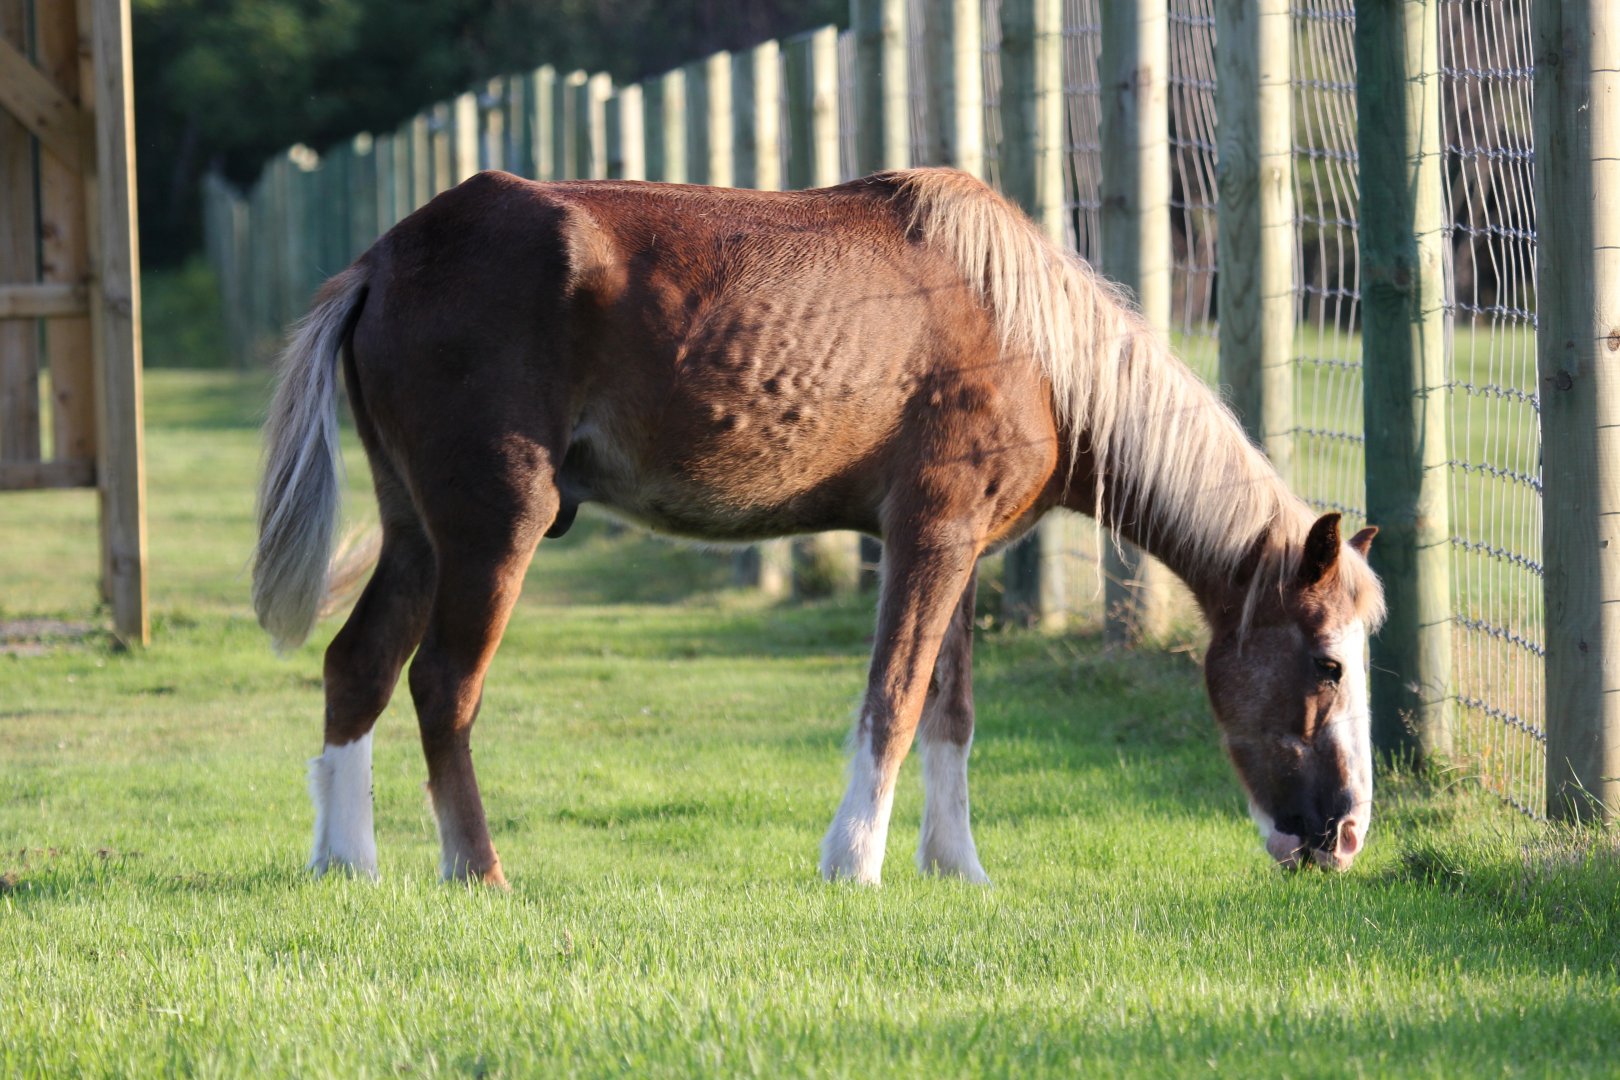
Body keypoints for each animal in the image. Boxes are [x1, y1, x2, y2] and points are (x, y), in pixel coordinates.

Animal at [252, 167, 1385, 887]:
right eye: (1328, 665)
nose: (1344, 834)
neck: (1032, 342)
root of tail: (387, 258)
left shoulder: (955, 553)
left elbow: (949, 712)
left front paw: (956, 869)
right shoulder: (930, 538)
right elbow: (893, 701)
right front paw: (856, 864)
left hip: (419, 534)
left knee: (358, 666)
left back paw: (346, 862)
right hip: (493, 531)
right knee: (443, 685)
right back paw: (476, 870)